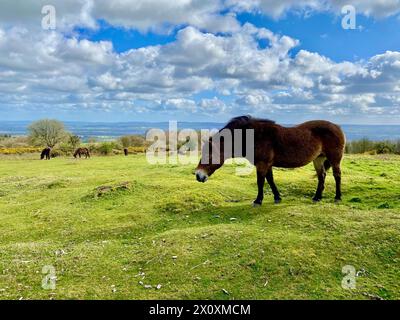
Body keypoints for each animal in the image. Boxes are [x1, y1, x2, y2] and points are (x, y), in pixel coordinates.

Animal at [195, 116, 346, 206]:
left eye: (208, 156)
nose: (198, 175)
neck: (254, 136)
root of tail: (337, 127)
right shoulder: (267, 164)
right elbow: (270, 180)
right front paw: (277, 197)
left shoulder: (262, 164)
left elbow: (260, 181)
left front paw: (258, 200)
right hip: (318, 159)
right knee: (322, 176)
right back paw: (317, 197)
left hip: (334, 158)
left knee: (337, 175)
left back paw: (337, 197)